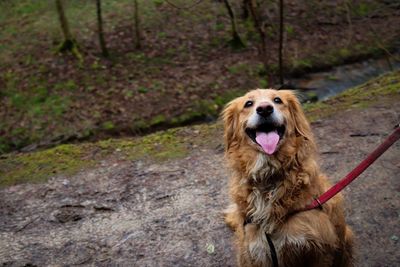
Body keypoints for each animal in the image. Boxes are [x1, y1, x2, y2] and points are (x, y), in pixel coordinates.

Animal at [222, 89, 354, 266]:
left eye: (277, 100)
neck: (269, 178)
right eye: (248, 103)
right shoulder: (256, 250)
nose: (265, 109)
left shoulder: (319, 250)